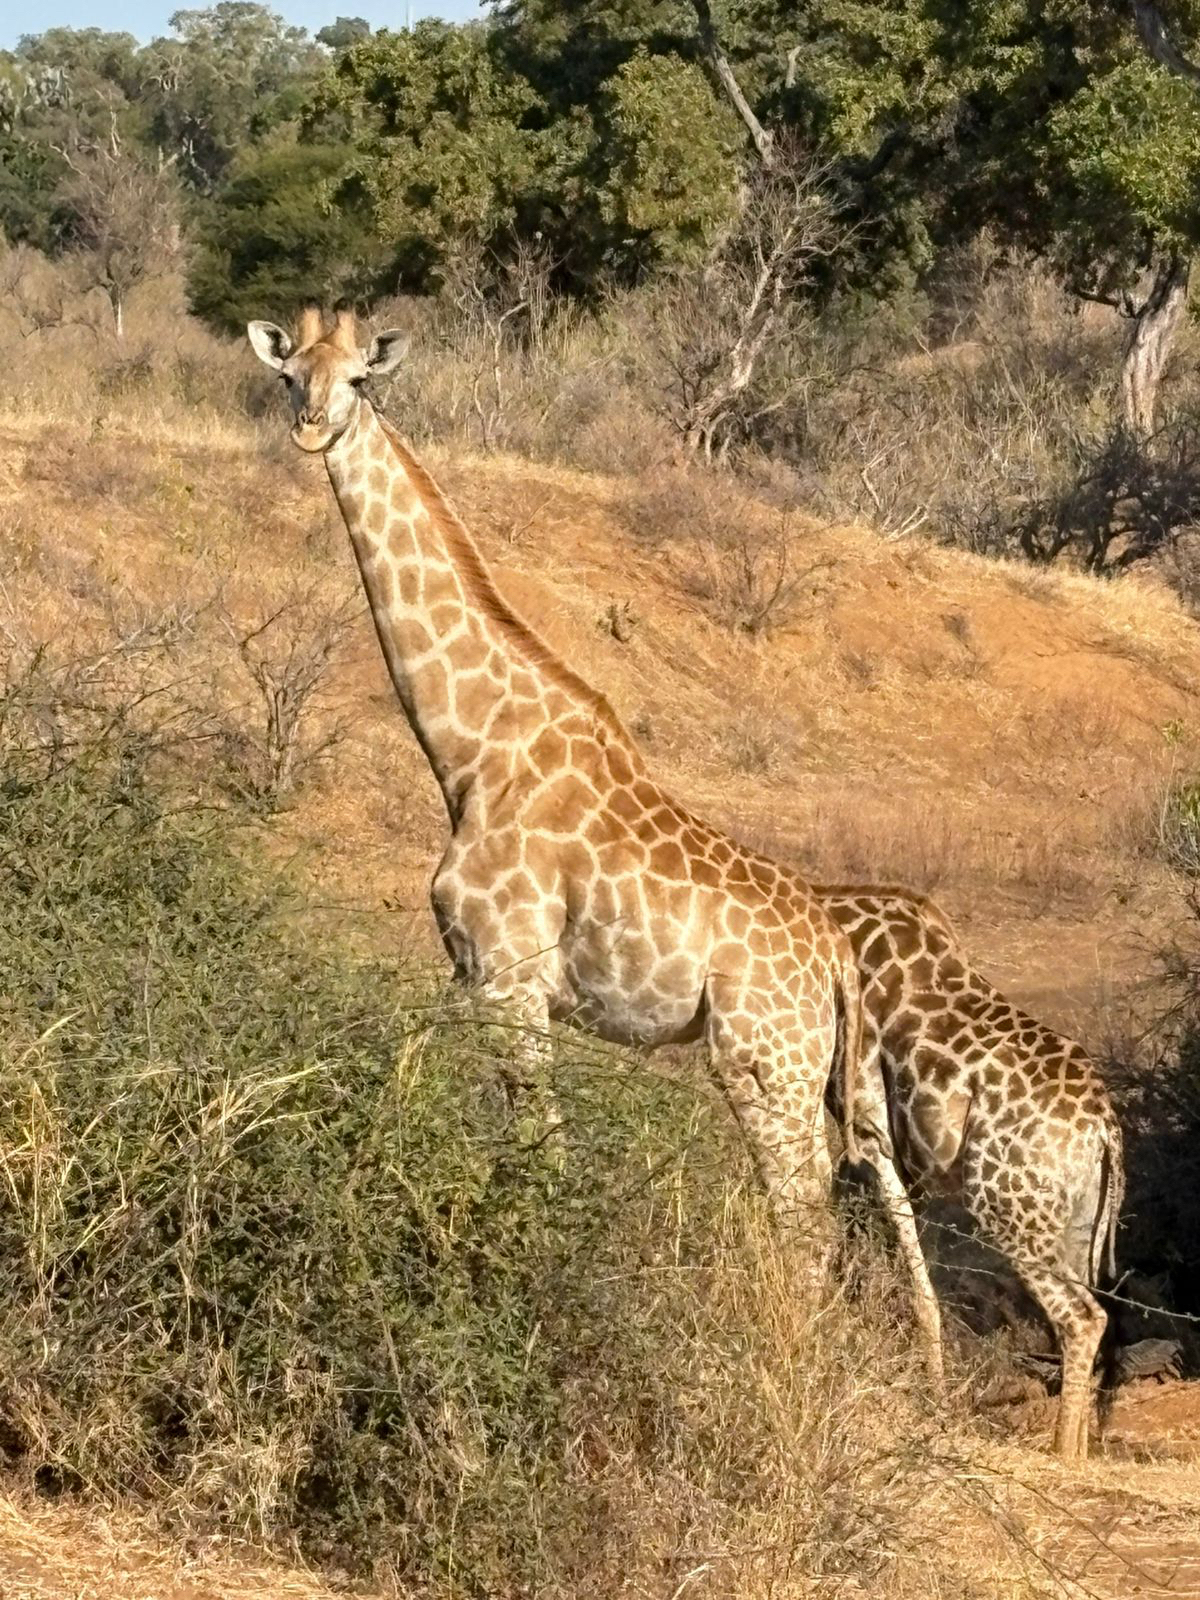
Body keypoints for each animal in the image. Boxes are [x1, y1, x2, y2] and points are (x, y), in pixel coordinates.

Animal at [246, 306, 864, 1245]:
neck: (472, 752)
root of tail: (835, 959)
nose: (312, 427)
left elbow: (543, 1154)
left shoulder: (511, 977)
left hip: (764, 1060)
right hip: (799, 1071)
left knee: (804, 1212)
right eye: (289, 376)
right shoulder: (472, 974)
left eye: (358, 379)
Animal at [817, 881, 1124, 1460]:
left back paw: (1060, 1454)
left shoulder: (868, 1124)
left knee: (1082, 1317)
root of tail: (1104, 1131)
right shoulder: (903, 1152)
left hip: (1007, 1206)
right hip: (1075, 1222)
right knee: (1092, 1311)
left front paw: (933, 1393)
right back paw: (1078, 1448)